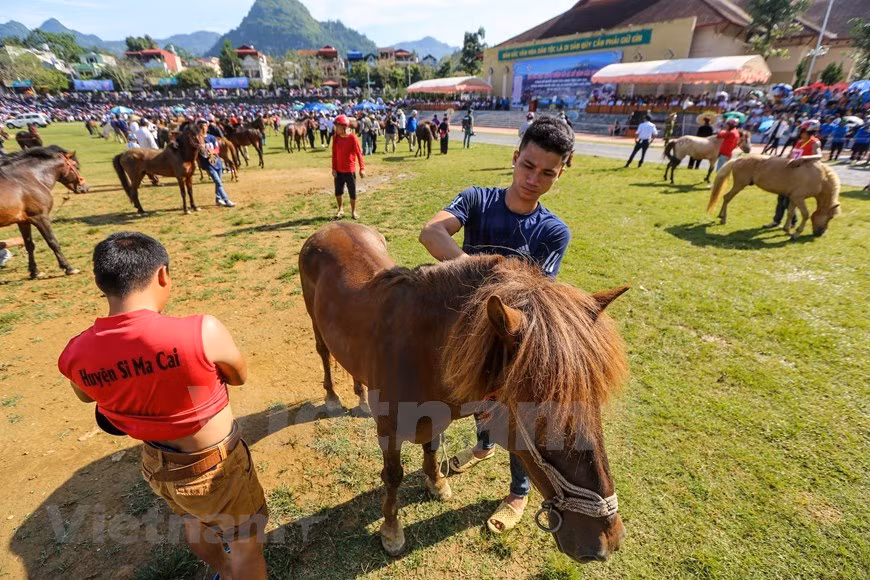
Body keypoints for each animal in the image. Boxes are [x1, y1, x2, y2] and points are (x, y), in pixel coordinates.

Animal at [0, 146, 89, 278]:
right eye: (76, 166)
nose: (85, 188)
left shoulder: (23, 221)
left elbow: (29, 245)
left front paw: (35, 272)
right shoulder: (40, 217)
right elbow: (52, 242)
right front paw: (68, 268)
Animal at [299, 222, 628, 561]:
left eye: (595, 401)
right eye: (540, 411)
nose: (608, 540)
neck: (420, 352)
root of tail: (330, 227)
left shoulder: (434, 416)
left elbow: (431, 449)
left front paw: (436, 483)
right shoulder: (388, 429)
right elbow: (392, 475)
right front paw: (391, 530)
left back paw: (361, 398)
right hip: (315, 322)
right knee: (323, 352)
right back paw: (332, 398)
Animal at [708, 155, 841, 239]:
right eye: (830, 217)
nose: (821, 233)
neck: (820, 177)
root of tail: (738, 159)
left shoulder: (793, 198)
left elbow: (790, 213)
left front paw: (787, 230)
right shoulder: (799, 198)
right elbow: (806, 214)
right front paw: (796, 233)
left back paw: (721, 216)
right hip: (739, 185)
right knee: (727, 197)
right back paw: (723, 218)